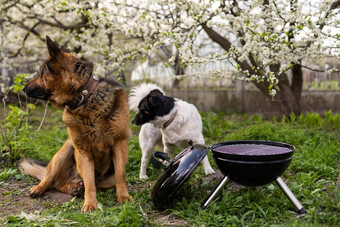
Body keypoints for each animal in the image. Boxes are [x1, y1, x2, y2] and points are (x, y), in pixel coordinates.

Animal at [18, 36, 133, 213]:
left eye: (40, 73)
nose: (23, 88)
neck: (85, 98)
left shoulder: (119, 144)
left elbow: (120, 176)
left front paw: (124, 197)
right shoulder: (82, 150)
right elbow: (90, 183)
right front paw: (90, 203)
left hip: (106, 177)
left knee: (70, 185)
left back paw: (75, 188)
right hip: (66, 149)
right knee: (51, 180)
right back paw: (41, 188)